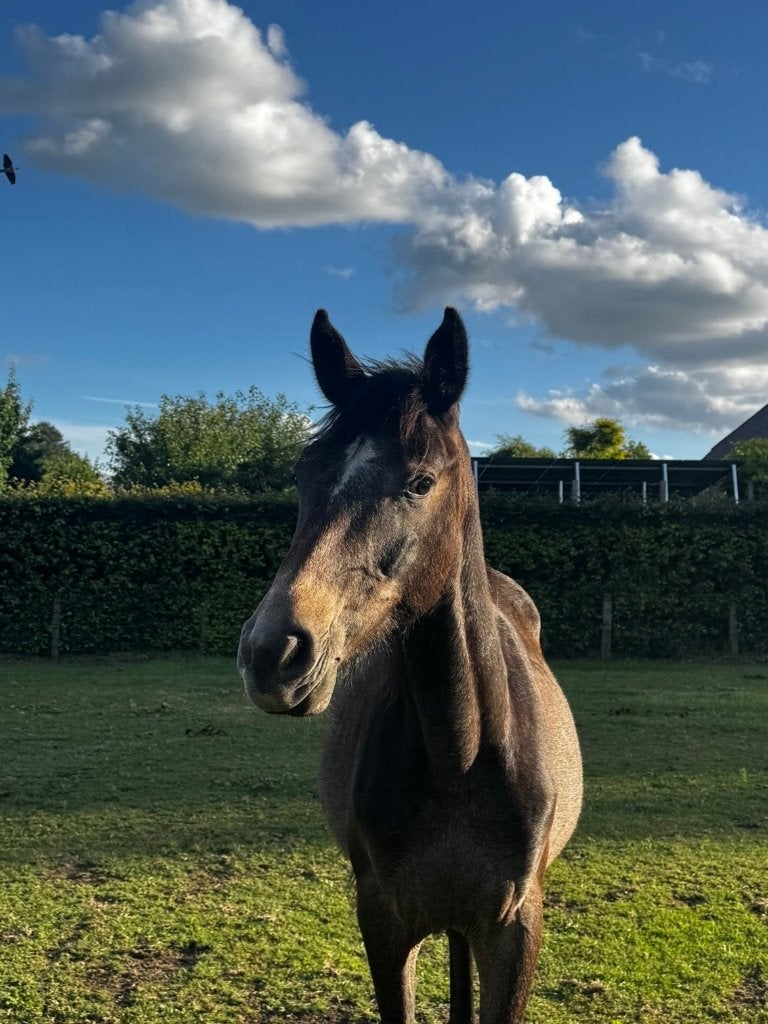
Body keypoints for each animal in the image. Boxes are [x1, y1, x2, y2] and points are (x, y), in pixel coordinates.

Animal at [238, 308, 583, 1024]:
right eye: (304, 475)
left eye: (420, 482)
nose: (272, 654)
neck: (463, 753)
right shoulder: (386, 921)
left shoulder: (515, 928)